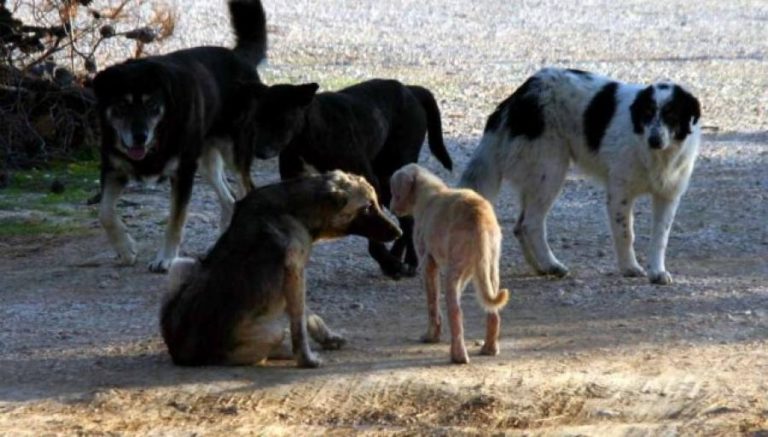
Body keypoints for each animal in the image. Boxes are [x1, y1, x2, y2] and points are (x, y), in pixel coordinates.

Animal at [92, 0, 268, 270]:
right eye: (121, 106)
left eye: (152, 105)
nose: (139, 137)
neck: (158, 136)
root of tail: (239, 56)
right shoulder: (113, 168)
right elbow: (105, 213)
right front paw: (125, 249)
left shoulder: (183, 173)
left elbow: (175, 221)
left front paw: (165, 258)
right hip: (205, 159)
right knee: (229, 200)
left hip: (233, 151)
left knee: (246, 190)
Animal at [160, 170, 404, 368]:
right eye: (367, 208)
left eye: (376, 203)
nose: (399, 232)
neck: (296, 209)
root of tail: (182, 355)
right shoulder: (295, 273)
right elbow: (299, 324)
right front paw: (306, 359)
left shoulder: (295, 278)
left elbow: (308, 315)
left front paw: (327, 338)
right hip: (272, 332)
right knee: (266, 350)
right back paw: (285, 352)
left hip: (182, 265)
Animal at [231, 79, 452, 280]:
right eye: (256, 120)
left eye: (281, 120)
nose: (259, 151)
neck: (307, 137)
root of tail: (410, 89)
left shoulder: (369, 184)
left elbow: (373, 233)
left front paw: (389, 263)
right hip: (388, 183)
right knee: (406, 219)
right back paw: (398, 256)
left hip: (391, 173)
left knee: (409, 220)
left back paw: (410, 261)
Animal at [390, 162, 510, 362]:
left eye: (394, 191)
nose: (391, 209)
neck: (428, 191)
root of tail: (479, 216)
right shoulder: (468, 272)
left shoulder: (428, 263)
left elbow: (432, 303)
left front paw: (431, 336)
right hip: (490, 269)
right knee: (492, 312)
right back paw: (489, 349)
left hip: (454, 271)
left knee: (456, 313)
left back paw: (458, 356)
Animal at [462, 67, 704, 282]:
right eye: (647, 114)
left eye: (672, 115)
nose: (654, 140)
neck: (656, 155)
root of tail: (518, 96)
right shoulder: (620, 193)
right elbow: (626, 233)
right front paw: (630, 268)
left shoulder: (668, 196)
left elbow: (660, 237)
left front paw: (657, 272)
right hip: (550, 171)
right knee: (530, 224)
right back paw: (552, 264)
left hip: (535, 177)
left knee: (519, 226)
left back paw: (540, 267)